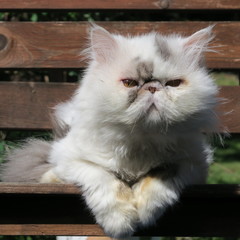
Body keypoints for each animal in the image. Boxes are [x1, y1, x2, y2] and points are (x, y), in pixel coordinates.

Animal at [0, 24, 218, 238]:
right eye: (130, 83)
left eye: (173, 84)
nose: (152, 88)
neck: (140, 141)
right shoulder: (71, 158)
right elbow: (105, 179)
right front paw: (120, 224)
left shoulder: (194, 162)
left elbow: (161, 175)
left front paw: (146, 212)